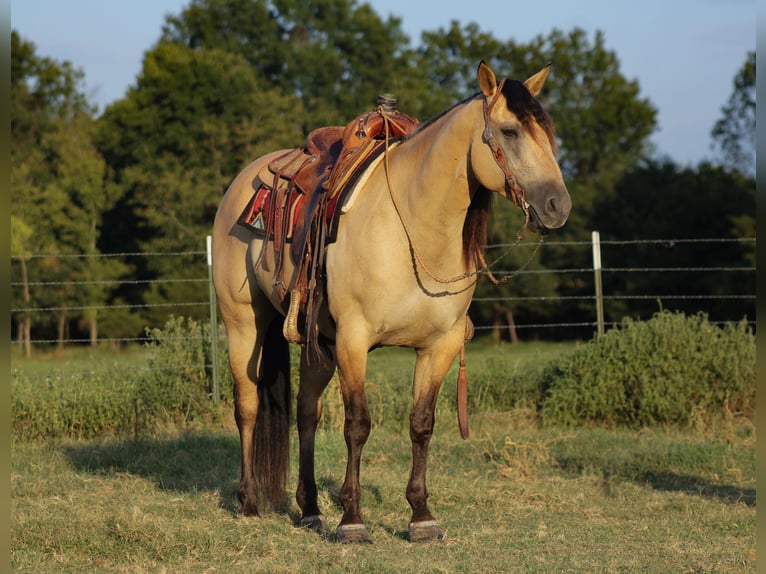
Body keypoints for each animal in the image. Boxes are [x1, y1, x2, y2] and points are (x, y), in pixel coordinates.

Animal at [212, 61, 571, 543]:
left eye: (548, 132)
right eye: (510, 131)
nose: (557, 206)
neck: (414, 228)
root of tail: (243, 180)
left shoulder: (439, 345)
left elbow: (421, 424)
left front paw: (421, 517)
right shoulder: (354, 339)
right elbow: (357, 425)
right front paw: (352, 521)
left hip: (317, 344)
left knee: (306, 413)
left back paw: (310, 510)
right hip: (244, 325)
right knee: (248, 407)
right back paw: (249, 503)